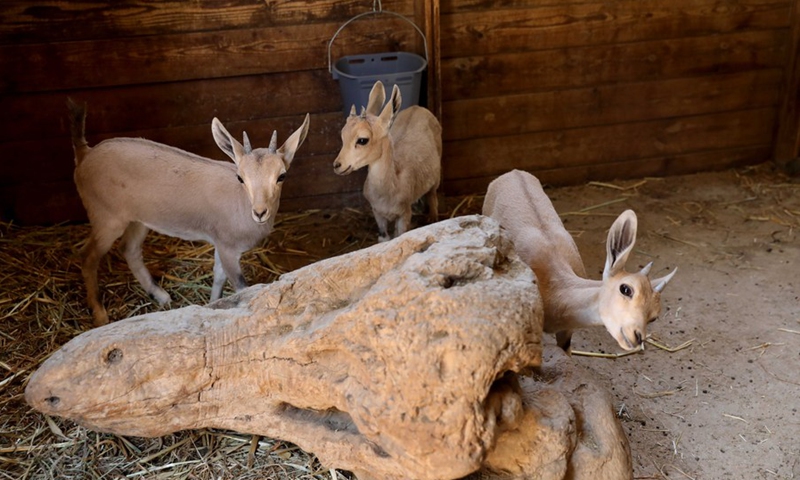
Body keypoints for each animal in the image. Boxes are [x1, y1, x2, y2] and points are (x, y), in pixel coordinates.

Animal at [67, 98, 310, 326]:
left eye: (281, 176)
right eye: (240, 177)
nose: (260, 212)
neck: (241, 203)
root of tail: (85, 153)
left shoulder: (221, 244)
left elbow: (218, 276)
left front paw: (212, 305)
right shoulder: (228, 247)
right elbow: (240, 286)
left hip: (139, 220)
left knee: (129, 249)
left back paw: (160, 295)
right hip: (107, 218)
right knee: (87, 255)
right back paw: (100, 315)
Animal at [333, 81, 442, 242]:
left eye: (362, 140)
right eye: (342, 135)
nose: (337, 165)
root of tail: (418, 108)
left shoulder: (404, 213)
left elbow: (400, 236)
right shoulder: (377, 213)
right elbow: (384, 238)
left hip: (436, 177)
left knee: (433, 195)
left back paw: (432, 217)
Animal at [482, 170, 676, 351]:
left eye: (654, 316)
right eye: (626, 289)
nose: (636, 336)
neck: (555, 288)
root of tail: (514, 172)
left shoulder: (567, 332)